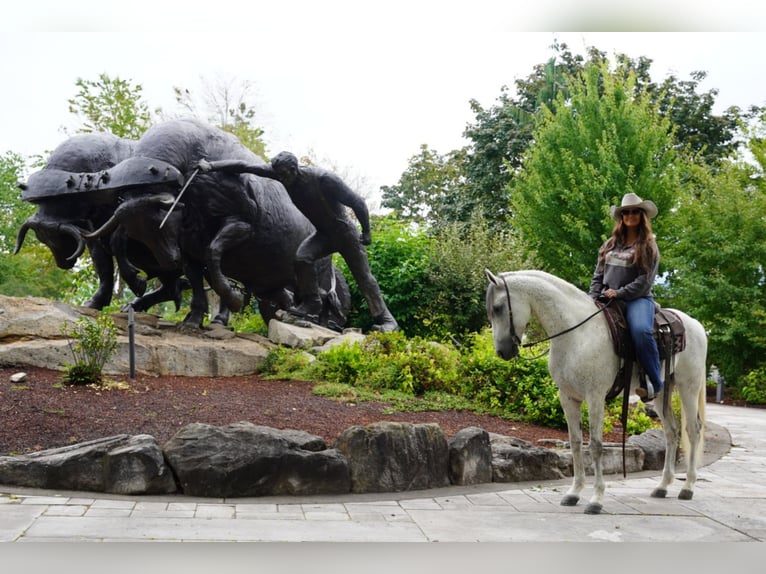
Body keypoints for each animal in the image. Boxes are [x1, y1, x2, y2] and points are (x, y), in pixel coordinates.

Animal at [486, 272, 708, 516]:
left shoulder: (595, 397)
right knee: (671, 431)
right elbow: (575, 443)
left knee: (693, 430)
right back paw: (662, 486)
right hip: (660, 394)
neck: (576, 334)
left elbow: (595, 445)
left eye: (498, 308)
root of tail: (695, 325)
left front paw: (596, 499)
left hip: (689, 387)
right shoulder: (568, 398)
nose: (502, 352)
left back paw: (687, 487)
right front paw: (574, 493)